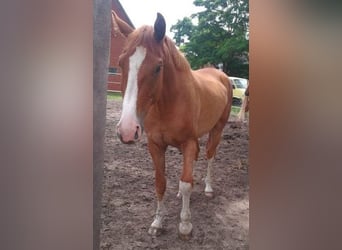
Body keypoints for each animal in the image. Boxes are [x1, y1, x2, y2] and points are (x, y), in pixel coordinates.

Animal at [112, 12, 232, 240]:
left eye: (158, 67)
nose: (127, 131)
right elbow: (161, 182)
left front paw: (185, 225)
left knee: (210, 156)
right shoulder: (156, 145)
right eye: (121, 63)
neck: (168, 103)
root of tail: (220, 75)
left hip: (217, 130)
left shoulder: (188, 142)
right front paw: (157, 223)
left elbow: (186, 183)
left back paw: (208, 188)